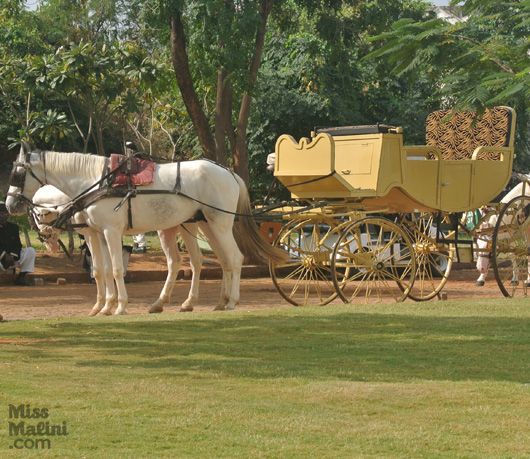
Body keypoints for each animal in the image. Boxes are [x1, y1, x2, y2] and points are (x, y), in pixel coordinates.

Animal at [6, 146, 284, 314]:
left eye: (17, 173)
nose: (9, 204)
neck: (95, 182)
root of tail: (229, 172)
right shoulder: (97, 233)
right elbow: (101, 270)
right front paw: (103, 306)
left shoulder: (110, 231)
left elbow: (116, 269)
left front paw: (119, 306)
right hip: (203, 224)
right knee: (210, 260)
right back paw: (210, 302)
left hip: (219, 223)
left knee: (234, 258)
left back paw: (231, 301)